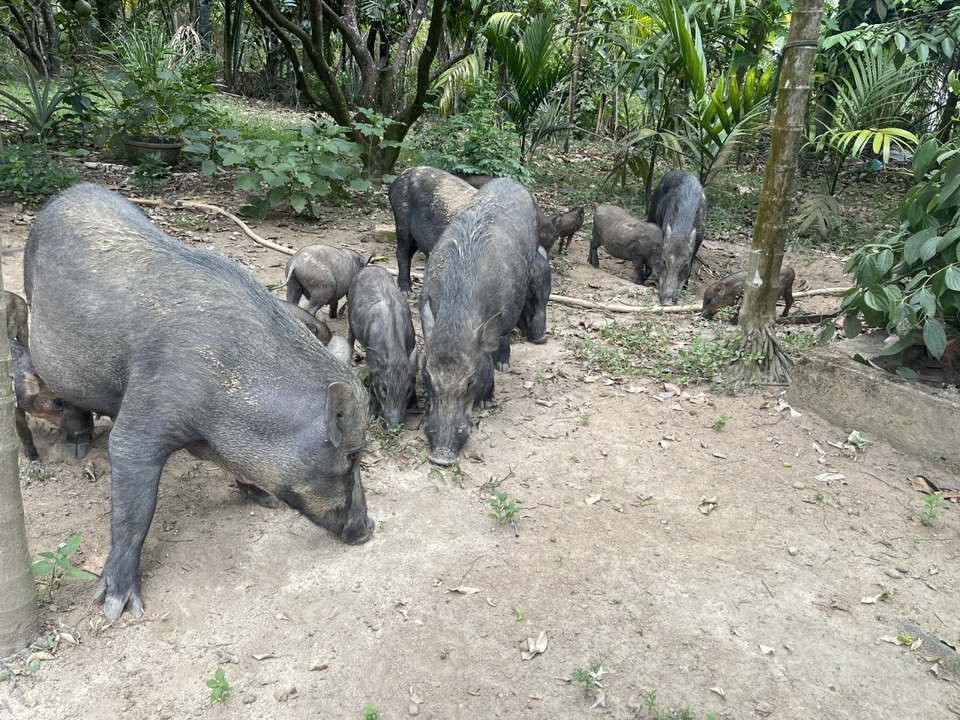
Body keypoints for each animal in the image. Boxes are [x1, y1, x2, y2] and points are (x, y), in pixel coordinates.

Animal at [26, 184, 372, 620]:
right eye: (352, 455)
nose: (368, 530)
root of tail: (67, 193)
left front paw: (264, 501)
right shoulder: (145, 417)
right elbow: (134, 510)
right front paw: (119, 610)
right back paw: (78, 447)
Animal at [420, 177, 540, 464]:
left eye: (470, 381)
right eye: (427, 377)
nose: (441, 457)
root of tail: (511, 179)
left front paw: (487, 401)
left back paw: (503, 365)